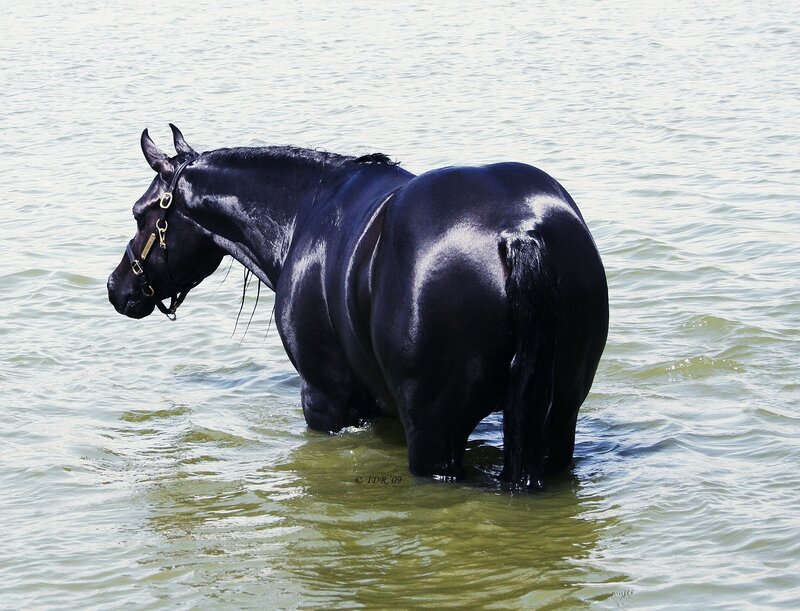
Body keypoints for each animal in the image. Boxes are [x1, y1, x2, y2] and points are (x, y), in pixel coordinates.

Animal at [107, 125, 609, 491]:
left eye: (140, 213)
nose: (117, 287)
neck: (302, 213)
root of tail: (519, 232)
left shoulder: (326, 400)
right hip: (557, 416)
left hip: (435, 434)